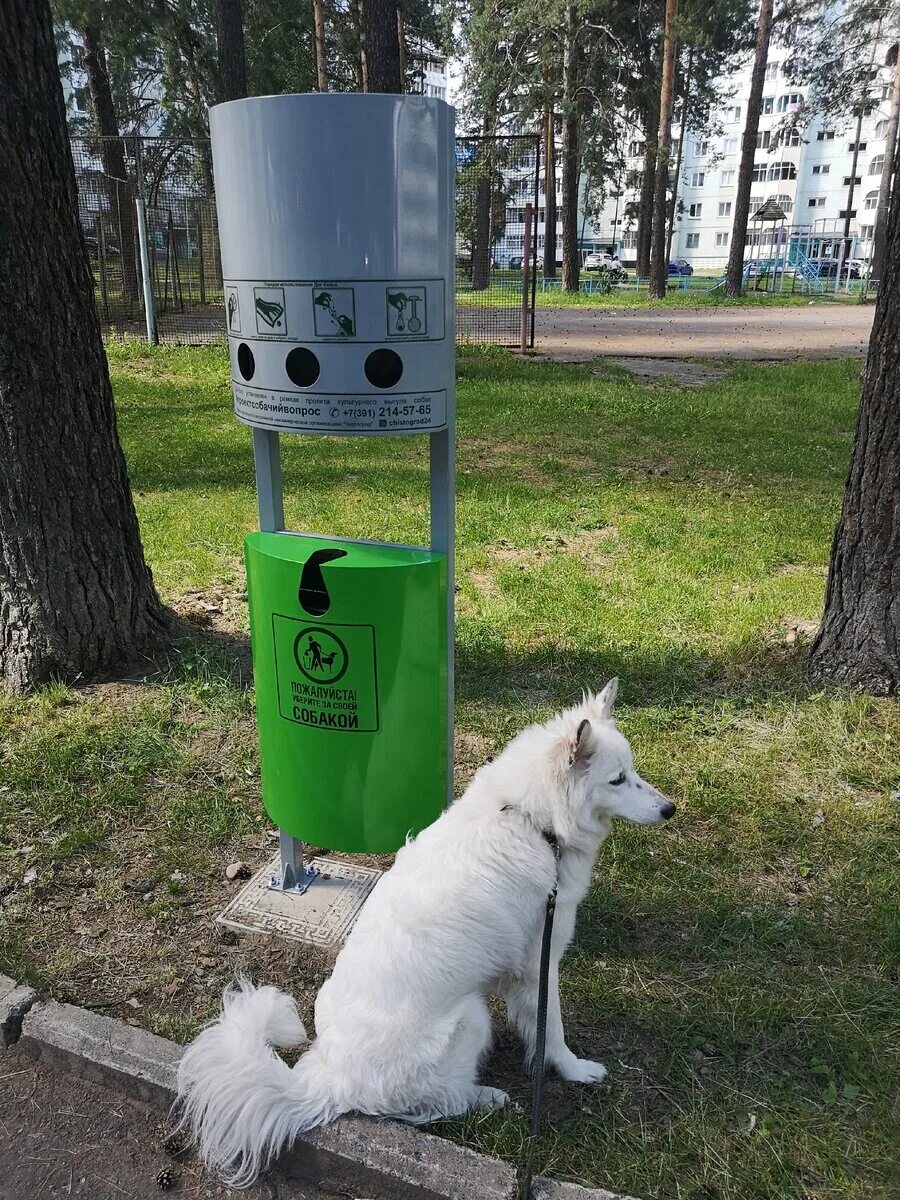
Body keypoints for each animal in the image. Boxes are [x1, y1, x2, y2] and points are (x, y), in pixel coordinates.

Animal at [177, 681, 676, 1185]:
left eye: (632, 772)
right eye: (618, 780)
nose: (669, 809)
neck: (534, 821)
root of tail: (331, 1079)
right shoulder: (541, 964)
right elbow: (550, 1029)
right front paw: (572, 1070)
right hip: (472, 1014)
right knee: (437, 1103)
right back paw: (487, 1098)